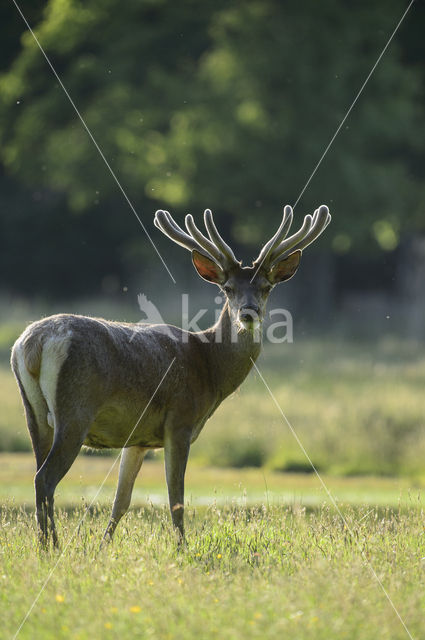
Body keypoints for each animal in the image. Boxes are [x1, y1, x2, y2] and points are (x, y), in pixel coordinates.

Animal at [9, 205, 328, 544]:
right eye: (228, 289)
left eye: (266, 288)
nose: (248, 313)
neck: (210, 368)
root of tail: (33, 343)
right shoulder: (180, 421)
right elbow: (176, 499)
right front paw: (183, 548)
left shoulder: (137, 439)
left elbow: (120, 502)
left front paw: (102, 547)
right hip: (75, 411)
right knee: (45, 478)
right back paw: (53, 547)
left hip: (34, 414)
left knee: (39, 475)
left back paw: (45, 545)